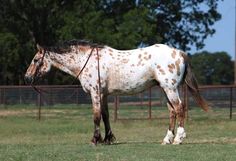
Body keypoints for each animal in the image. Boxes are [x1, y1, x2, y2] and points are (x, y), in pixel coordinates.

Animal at [24, 40, 208, 145]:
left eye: (35, 60)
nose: (27, 77)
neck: (86, 61)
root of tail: (179, 53)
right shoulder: (104, 95)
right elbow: (105, 116)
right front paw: (108, 139)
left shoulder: (95, 93)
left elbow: (96, 116)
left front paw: (95, 140)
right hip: (166, 89)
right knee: (172, 111)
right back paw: (167, 139)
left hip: (170, 89)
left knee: (179, 109)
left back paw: (178, 139)